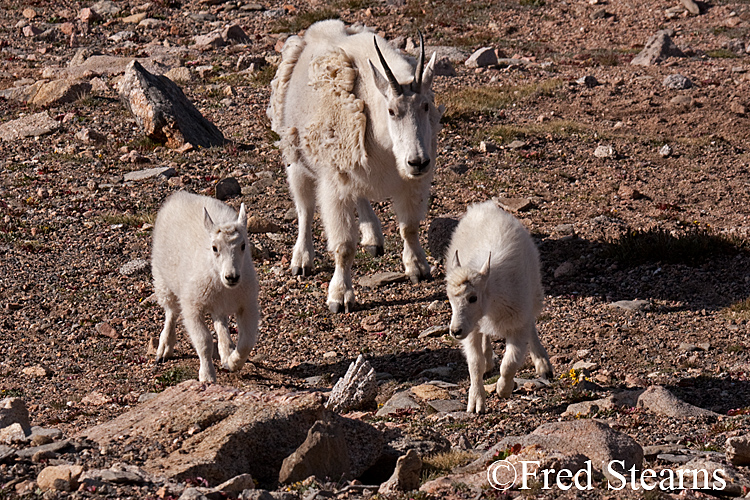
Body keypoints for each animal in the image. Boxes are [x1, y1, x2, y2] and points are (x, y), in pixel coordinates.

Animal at [151, 191, 260, 383]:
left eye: (243, 246)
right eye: (214, 248)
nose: (232, 277)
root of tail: (180, 194)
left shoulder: (247, 304)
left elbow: (246, 341)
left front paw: (233, 362)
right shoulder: (192, 306)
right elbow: (204, 341)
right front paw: (207, 376)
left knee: (220, 321)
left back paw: (226, 351)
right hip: (162, 278)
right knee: (171, 312)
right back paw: (164, 348)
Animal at [267, 19, 444, 313]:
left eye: (426, 106)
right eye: (392, 111)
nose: (418, 161)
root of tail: (314, 30)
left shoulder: (412, 182)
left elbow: (409, 226)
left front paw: (418, 268)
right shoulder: (334, 184)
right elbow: (344, 245)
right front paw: (340, 297)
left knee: (359, 196)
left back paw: (373, 238)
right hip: (294, 156)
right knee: (304, 208)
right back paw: (302, 260)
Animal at [445, 201, 553, 413]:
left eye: (473, 298)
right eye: (450, 298)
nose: (455, 331)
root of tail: (484, 206)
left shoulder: (517, 323)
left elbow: (509, 364)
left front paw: (504, 390)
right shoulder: (471, 327)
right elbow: (475, 363)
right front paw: (476, 402)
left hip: (533, 293)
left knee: (531, 324)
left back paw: (543, 364)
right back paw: (488, 359)